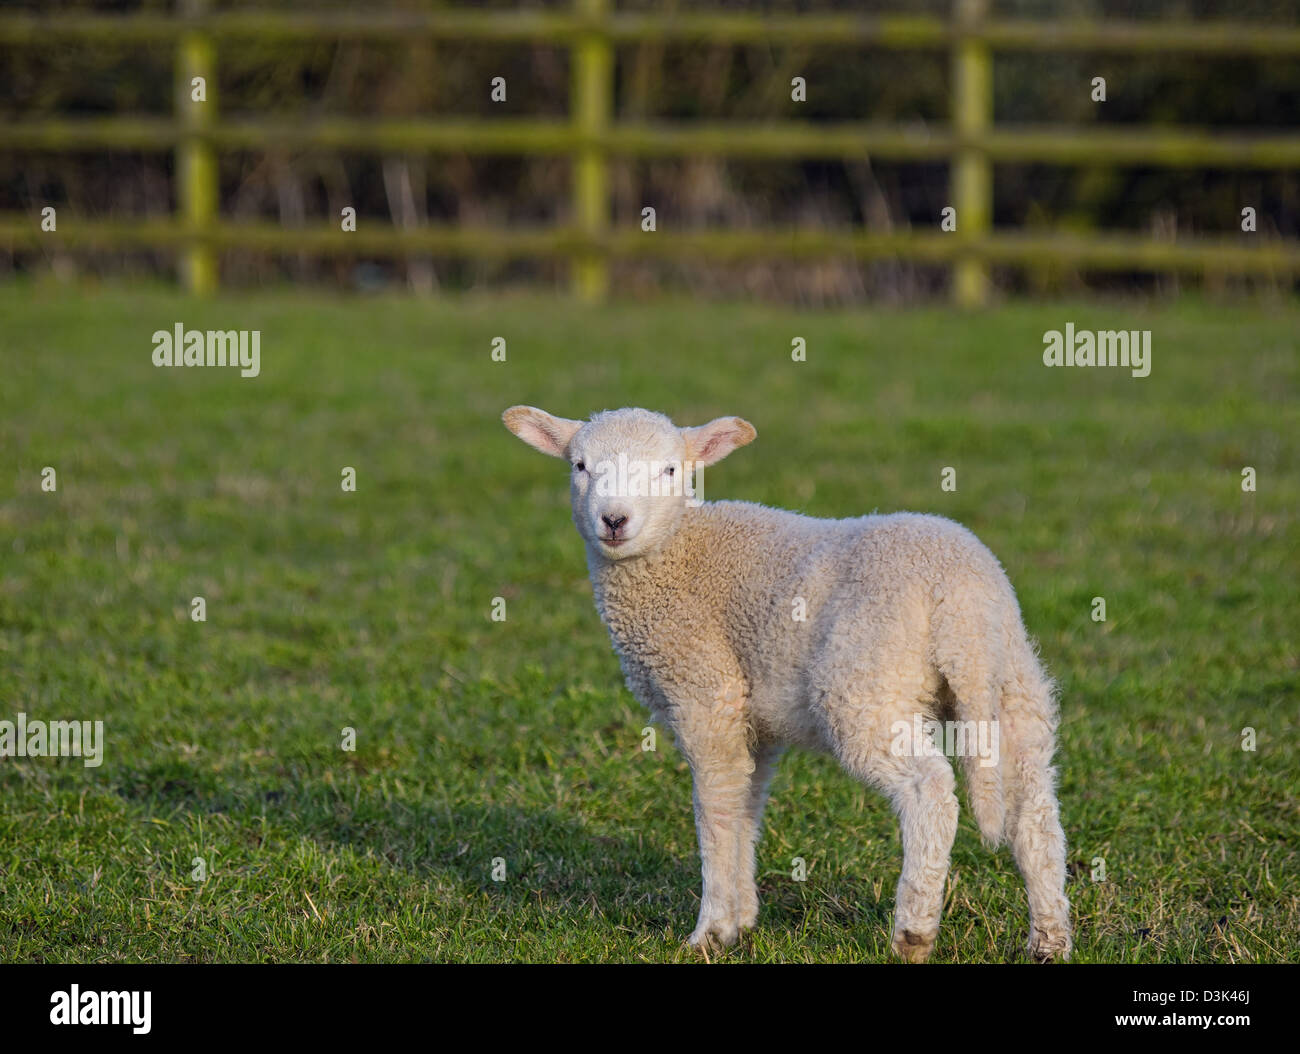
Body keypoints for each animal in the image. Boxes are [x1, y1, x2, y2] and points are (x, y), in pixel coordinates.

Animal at [501, 402, 1071, 966]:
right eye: (579, 466)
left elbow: (717, 810)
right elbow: (746, 805)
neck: (676, 550)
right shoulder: (755, 719)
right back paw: (1049, 939)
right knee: (1034, 806)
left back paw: (913, 933)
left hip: (866, 680)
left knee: (929, 789)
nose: (614, 520)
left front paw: (711, 931)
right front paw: (743, 919)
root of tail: (959, 598)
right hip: (1014, 683)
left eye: (669, 470)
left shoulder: (704, 691)